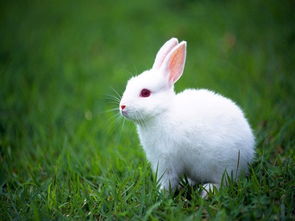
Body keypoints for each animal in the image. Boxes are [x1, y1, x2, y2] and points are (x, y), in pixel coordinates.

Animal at [119, 38, 256, 197]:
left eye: (145, 93)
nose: (122, 106)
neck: (162, 112)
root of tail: (249, 152)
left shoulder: (167, 161)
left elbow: (167, 181)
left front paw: (160, 194)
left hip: (224, 166)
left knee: (225, 182)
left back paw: (207, 191)